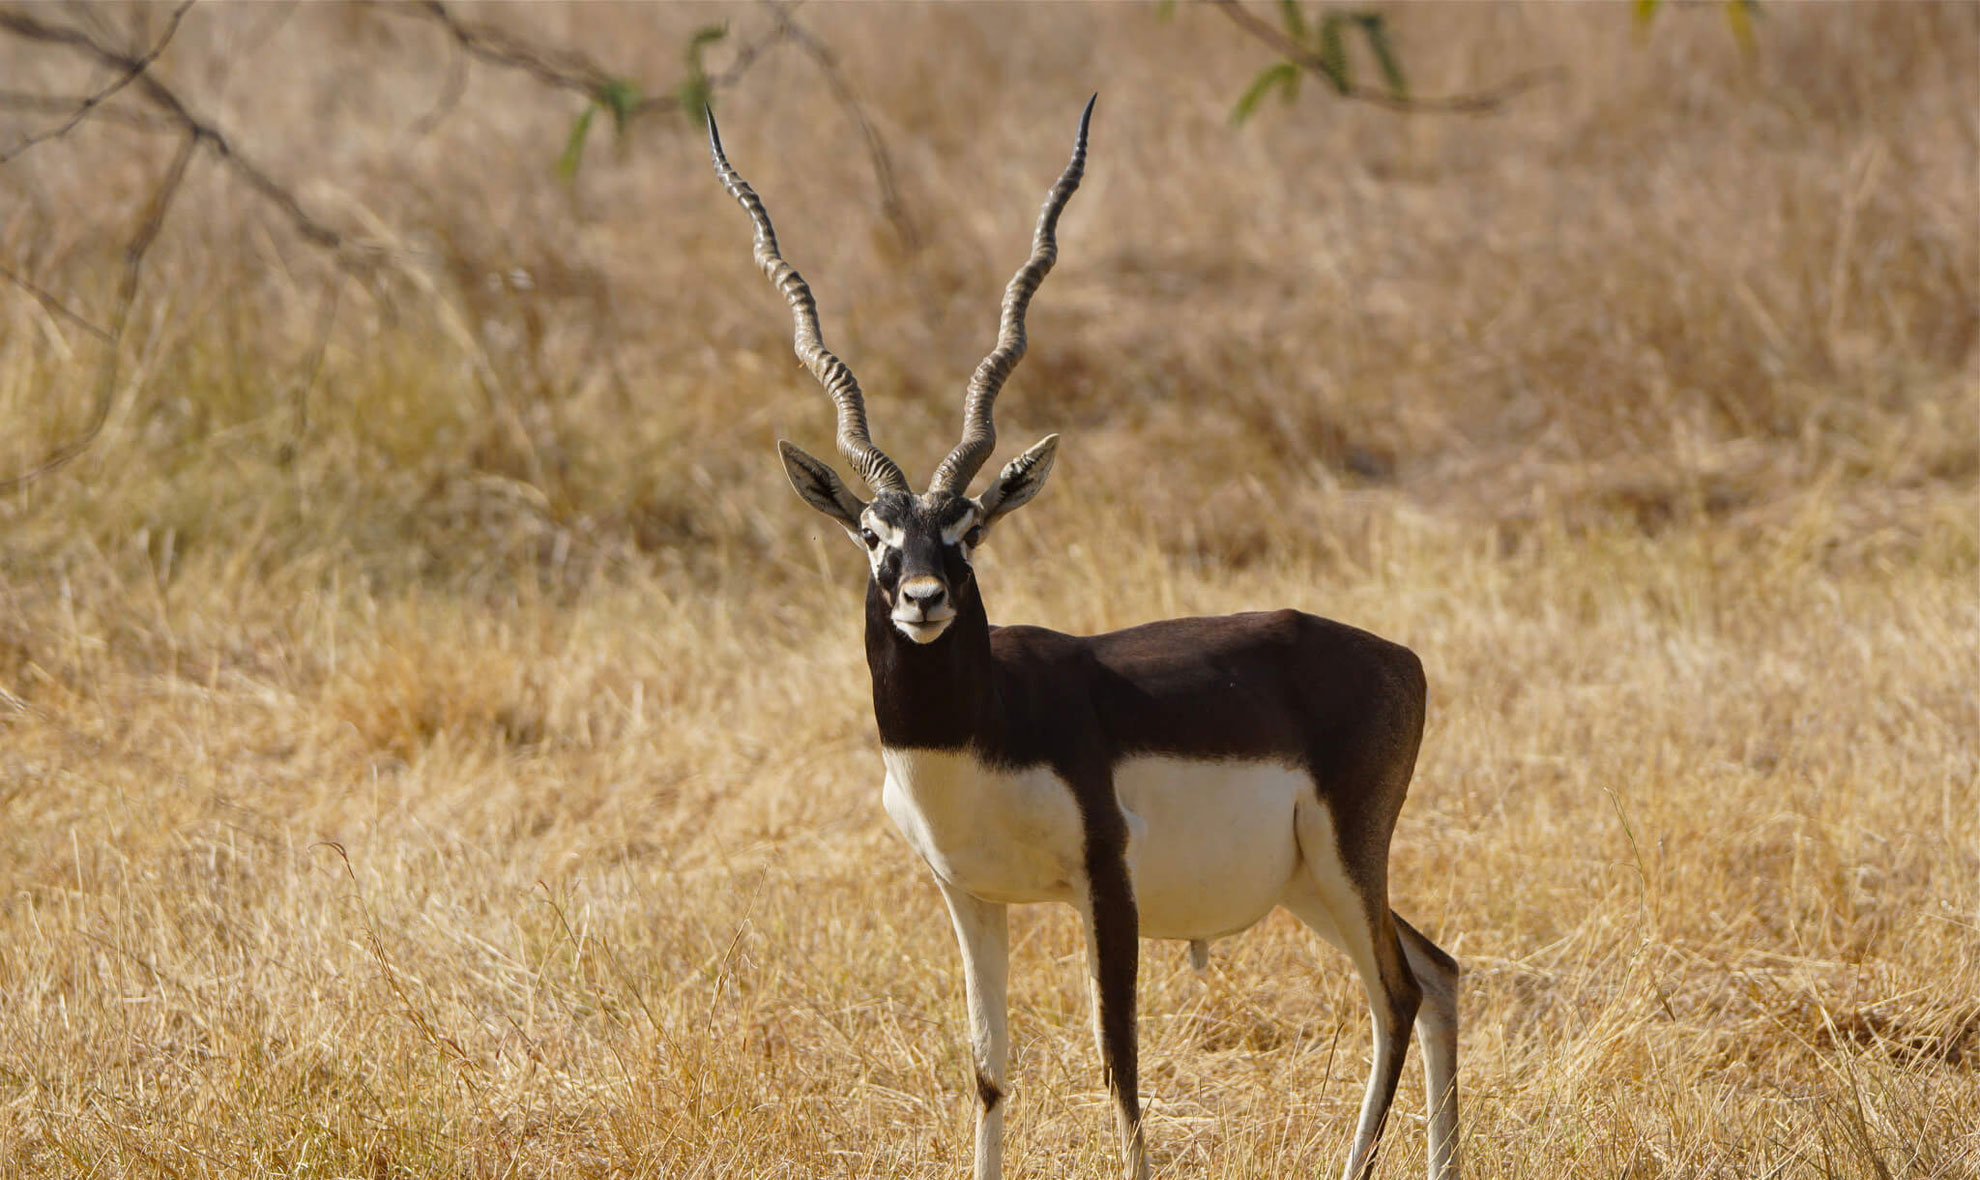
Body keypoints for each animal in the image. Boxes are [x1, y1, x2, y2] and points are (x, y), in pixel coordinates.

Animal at [708, 101, 1457, 1180]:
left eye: (969, 527)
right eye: (874, 534)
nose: (923, 600)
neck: (974, 731)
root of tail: (1398, 658)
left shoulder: (1109, 880)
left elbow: (1119, 1065)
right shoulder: (968, 894)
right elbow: (988, 1066)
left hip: (1347, 853)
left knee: (1394, 995)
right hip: (1311, 878)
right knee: (1439, 974)